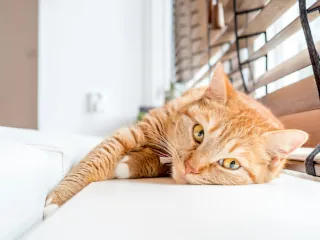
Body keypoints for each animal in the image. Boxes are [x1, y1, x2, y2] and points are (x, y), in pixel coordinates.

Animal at [43, 62, 308, 217]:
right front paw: (58, 200)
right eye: (199, 132)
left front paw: (128, 164)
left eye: (231, 164)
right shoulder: (133, 132)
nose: (191, 167)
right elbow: (96, 160)